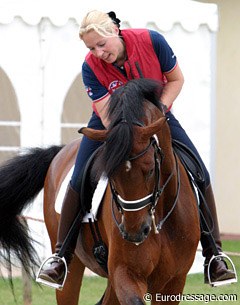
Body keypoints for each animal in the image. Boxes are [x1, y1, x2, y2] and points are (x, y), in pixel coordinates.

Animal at [0, 79, 201, 304]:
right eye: (110, 173)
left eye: (150, 170)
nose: (133, 233)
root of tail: (62, 150)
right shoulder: (125, 273)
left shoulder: (173, 281)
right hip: (71, 265)